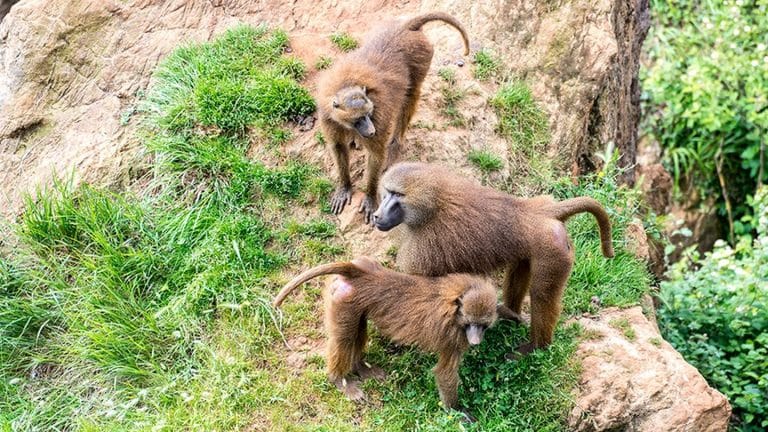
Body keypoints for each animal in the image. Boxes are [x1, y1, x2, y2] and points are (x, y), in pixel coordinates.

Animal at [273, 256, 496, 416]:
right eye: (470, 323)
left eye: (482, 325)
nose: (475, 341)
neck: (455, 301)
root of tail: (360, 272)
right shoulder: (452, 336)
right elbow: (444, 373)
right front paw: (457, 412)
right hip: (342, 301)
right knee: (343, 339)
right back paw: (339, 380)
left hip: (351, 300)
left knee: (357, 330)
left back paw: (361, 368)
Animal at [317, 12, 470, 224]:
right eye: (359, 118)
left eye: (368, 115)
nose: (371, 131)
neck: (347, 83)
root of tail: (406, 27)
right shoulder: (329, 118)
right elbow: (338, 147)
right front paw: (345, 187)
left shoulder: (378, 113)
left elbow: (375, 155)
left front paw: (370, 197)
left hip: (421, 57)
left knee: (409, 96)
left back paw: (395, 143)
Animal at [371, 162, 615, 355]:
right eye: (387, 192)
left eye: (397, 195)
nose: (376, 216)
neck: (432, 205)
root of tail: (539, 210)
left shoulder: (423, 248)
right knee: (519, 270)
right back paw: (510, 315)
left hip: (553, 250)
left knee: (542, 296)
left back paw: (536, 347)